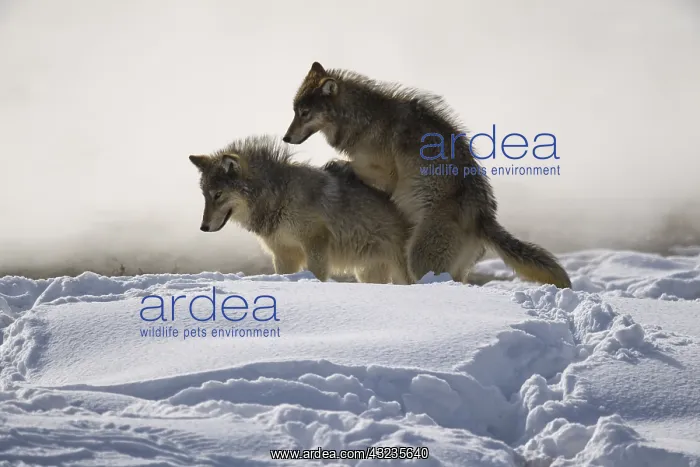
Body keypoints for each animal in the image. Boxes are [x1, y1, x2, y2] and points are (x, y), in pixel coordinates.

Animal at [188, 135, 413, 284]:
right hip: (368, 272)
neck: (281, 197)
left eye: (217, 195)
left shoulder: (315, 247)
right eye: (205, 195)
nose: (203, 227)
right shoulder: (283, 254)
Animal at [282, 62, 571, 288]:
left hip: (418, 259)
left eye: (304, 113)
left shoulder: (388, 175)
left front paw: (335, 164)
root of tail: (483, 217)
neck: (363, 119)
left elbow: (351, 165)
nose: (286, 137)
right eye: (294, 111)